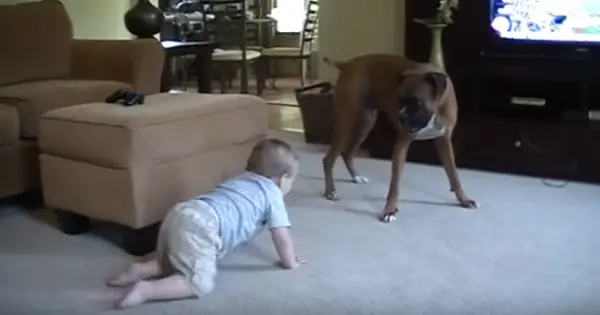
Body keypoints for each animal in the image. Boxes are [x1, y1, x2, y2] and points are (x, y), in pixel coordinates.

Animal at [322, 54, 480, 223]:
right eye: (400, 100)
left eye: (416, 103)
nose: (400, 117)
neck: (434, 112)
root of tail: (346, 64)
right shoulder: (402, 144)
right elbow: (395, 183)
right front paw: (390, 210)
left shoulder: (444, 142)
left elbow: (454, 175)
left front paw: (464, 200)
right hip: (346, 123)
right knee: (329, 159)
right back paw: (330, 191)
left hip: (365, 124)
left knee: (347, 153)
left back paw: (356, 177)